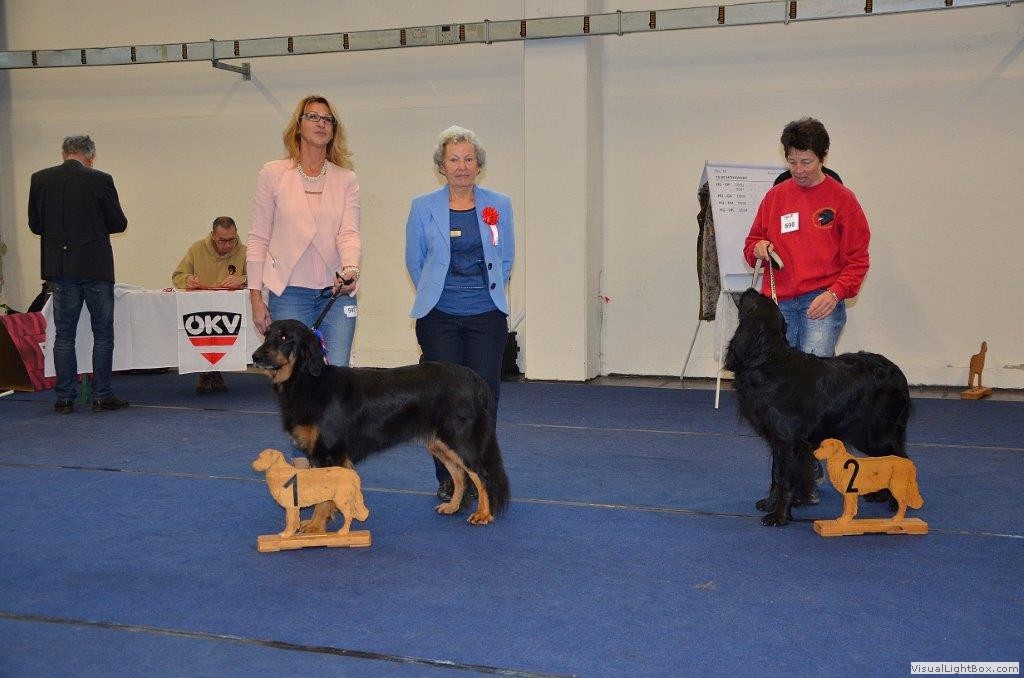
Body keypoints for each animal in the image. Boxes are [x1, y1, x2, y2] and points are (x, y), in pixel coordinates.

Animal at [252, 319, 510, 529]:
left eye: (284, 337)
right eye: (266, 334)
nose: (255, 356)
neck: (308, 380)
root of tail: (475, 380)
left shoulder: (328, 452)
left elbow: (325, 497)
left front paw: (316, 528)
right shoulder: (318, 455)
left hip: (461, 438)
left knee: (481, 474)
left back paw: (483, 514)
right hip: (440, 443)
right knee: (459, 474)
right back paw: (453, 506)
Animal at [725, 288, 912, 526]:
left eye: (756, 299)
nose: (750, 289)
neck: (768, 361)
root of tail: (899, 374)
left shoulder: (789, 441)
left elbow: (785, 479)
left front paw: (779, 516)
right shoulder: (778, 441)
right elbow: (776, 474)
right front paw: (770, 504)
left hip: (877, 433)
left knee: (901, 460)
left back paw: (897, 503)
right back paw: (880, 495)